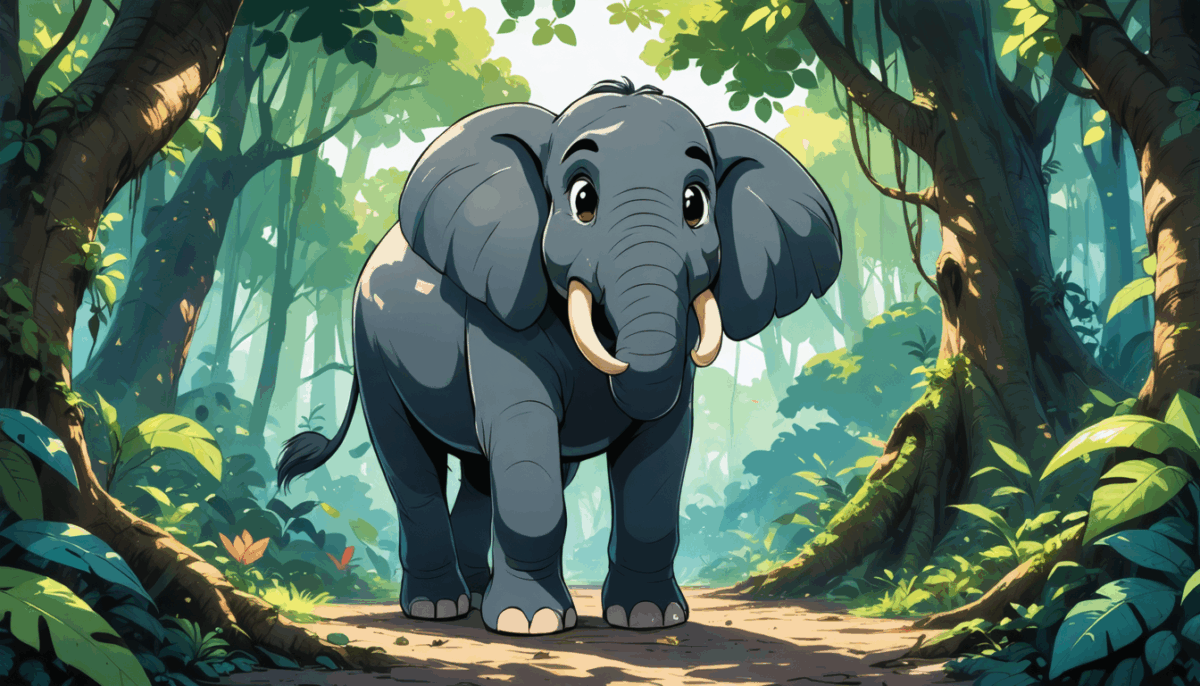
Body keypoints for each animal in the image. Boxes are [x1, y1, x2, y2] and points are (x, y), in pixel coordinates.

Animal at [276, 77, 841, 636]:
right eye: (582, 198)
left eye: (695, 204)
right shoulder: (499, 313)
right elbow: (523, 432)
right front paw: (531, 622)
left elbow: (659, 448)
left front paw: (650, 618)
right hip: (370, 346)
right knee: (410, 465)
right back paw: (438, 607)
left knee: (480, 476)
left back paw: (476, 595)